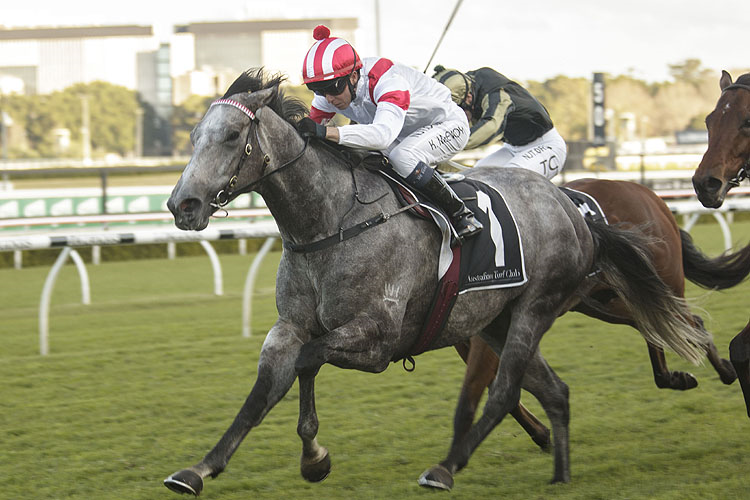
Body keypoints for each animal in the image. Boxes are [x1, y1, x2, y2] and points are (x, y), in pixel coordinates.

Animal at [163, 70, 712, 496]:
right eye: (193, 136)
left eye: (233, 135)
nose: (181, 204)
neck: (330, 223)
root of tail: (570, 208)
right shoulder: (288, 327)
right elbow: (263, 391)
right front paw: (199, 469)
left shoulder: (377, 339)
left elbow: (307, 361)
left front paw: (314, 455)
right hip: (496, 320)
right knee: (554, 390)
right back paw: (560, 474)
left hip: (538, 306)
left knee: (507, 390)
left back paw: (445, 469)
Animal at [450, 179, 750, 454]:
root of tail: (649, 194)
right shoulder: (468, 338)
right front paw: (541, 433)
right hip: (607, 298)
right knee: (656, 326)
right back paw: (683, 375)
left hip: (659, 281)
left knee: (685, 325)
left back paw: (724, 370)